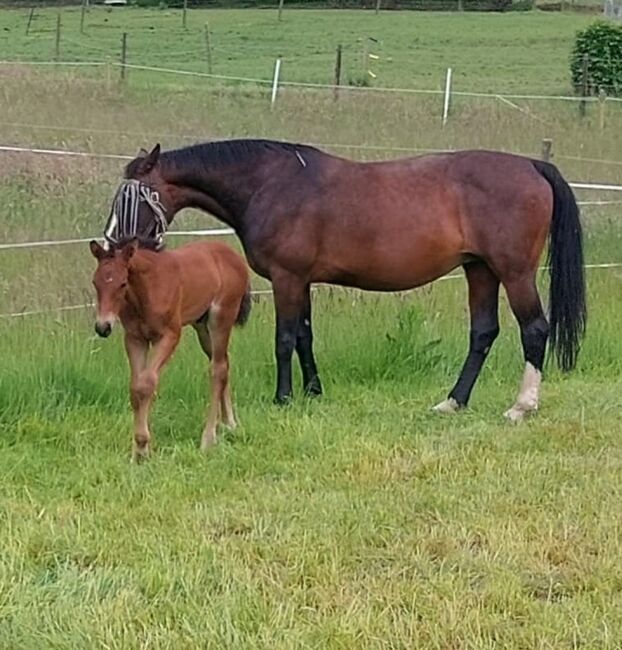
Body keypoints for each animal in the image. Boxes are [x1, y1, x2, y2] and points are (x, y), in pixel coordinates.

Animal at [90, 235, 251, 458]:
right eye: (95, 282)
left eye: (122, 283)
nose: (103, 327)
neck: (147, 290)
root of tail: (235, 256)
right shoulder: (135, 339)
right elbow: (135, 386)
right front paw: (139, 451)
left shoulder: (169, 336)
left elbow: (146, 383)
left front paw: (142, 446)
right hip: (202, 326)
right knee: (223, 363)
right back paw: (230, 424)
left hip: (221, 318)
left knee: (217, 370)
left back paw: (208, 438)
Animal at [113, 139, 588, 418]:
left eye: (132, 196)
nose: (117, 243)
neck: (273, 184)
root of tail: (531, 165)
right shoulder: (302, 280)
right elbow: (304, 336)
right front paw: (313, 391)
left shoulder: (287, 277)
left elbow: (284, 338)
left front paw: (283, 398)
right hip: (480, 270)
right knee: (483, 332)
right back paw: (452, 402)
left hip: (514, 272)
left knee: (535, 328)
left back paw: (521, 406)